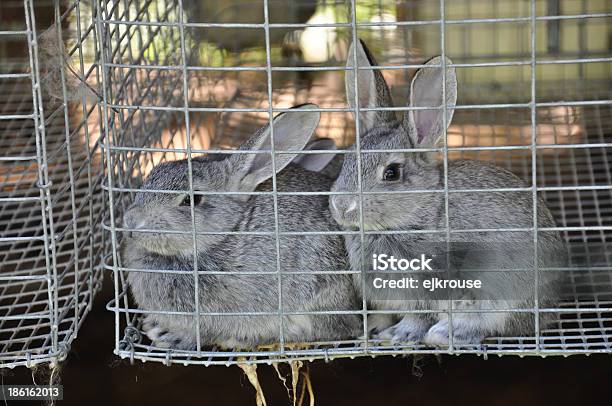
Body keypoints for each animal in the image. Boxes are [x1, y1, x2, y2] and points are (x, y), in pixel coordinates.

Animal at [328, 39, 568, 346]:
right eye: (346, 159)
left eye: (391, 173)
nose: (341, 206)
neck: (417, 214)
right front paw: (373, 330)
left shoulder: (427, 291)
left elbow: (419, 317)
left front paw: (399, 334)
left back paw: (443, 334)